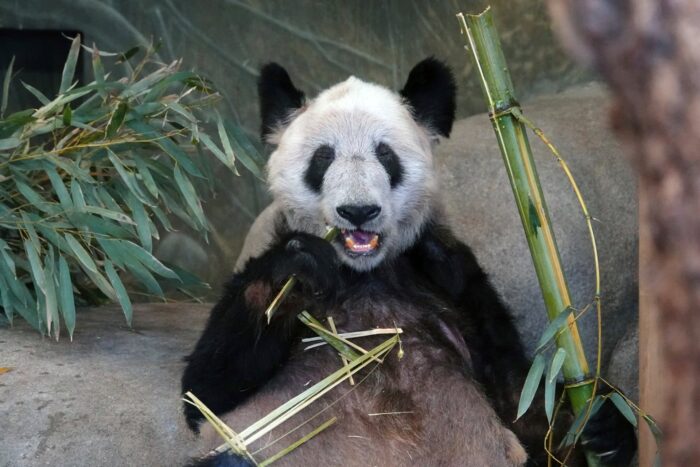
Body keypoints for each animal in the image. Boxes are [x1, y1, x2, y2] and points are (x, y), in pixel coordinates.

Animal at [181, 58, 636, 467]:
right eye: (323, 158)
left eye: (385, 155)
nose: (358, 211)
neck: (363, 273)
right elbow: (206, 391)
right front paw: (297, 269)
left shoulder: (450, 277)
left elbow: (523, 403)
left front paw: (604, 423)